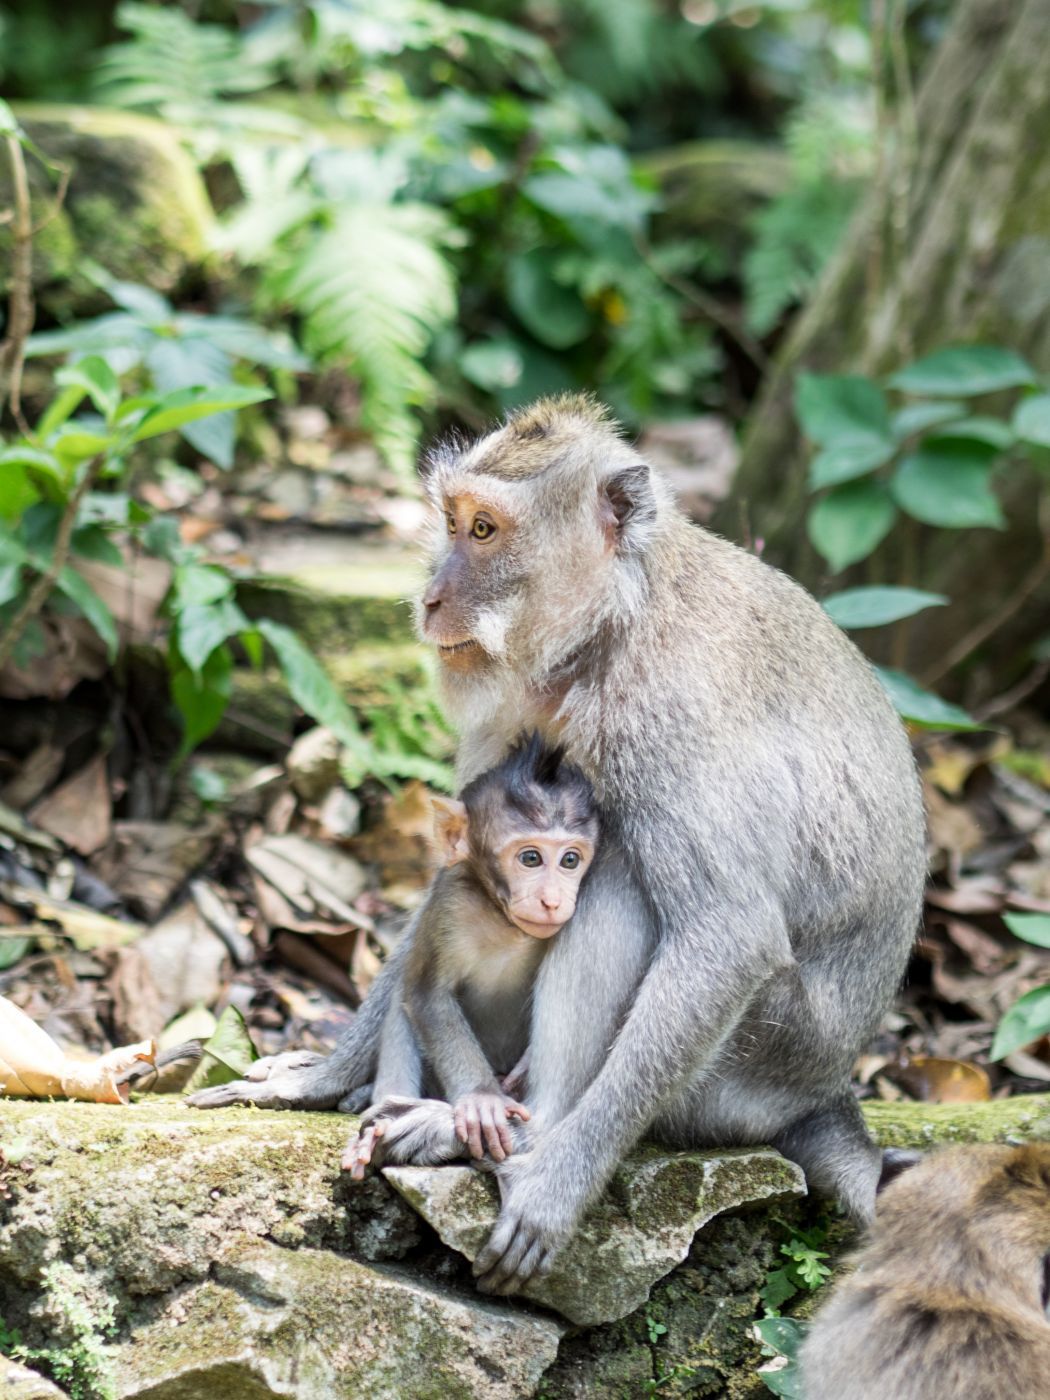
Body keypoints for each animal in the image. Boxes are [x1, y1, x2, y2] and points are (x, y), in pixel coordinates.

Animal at [340, 732, 600, 1179]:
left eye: (570, 859)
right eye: (530, 858)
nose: (552, 900)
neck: (504, 922)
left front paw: (520, 1073)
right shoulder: (449, 907)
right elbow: (425, 994)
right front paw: (483, 1099)